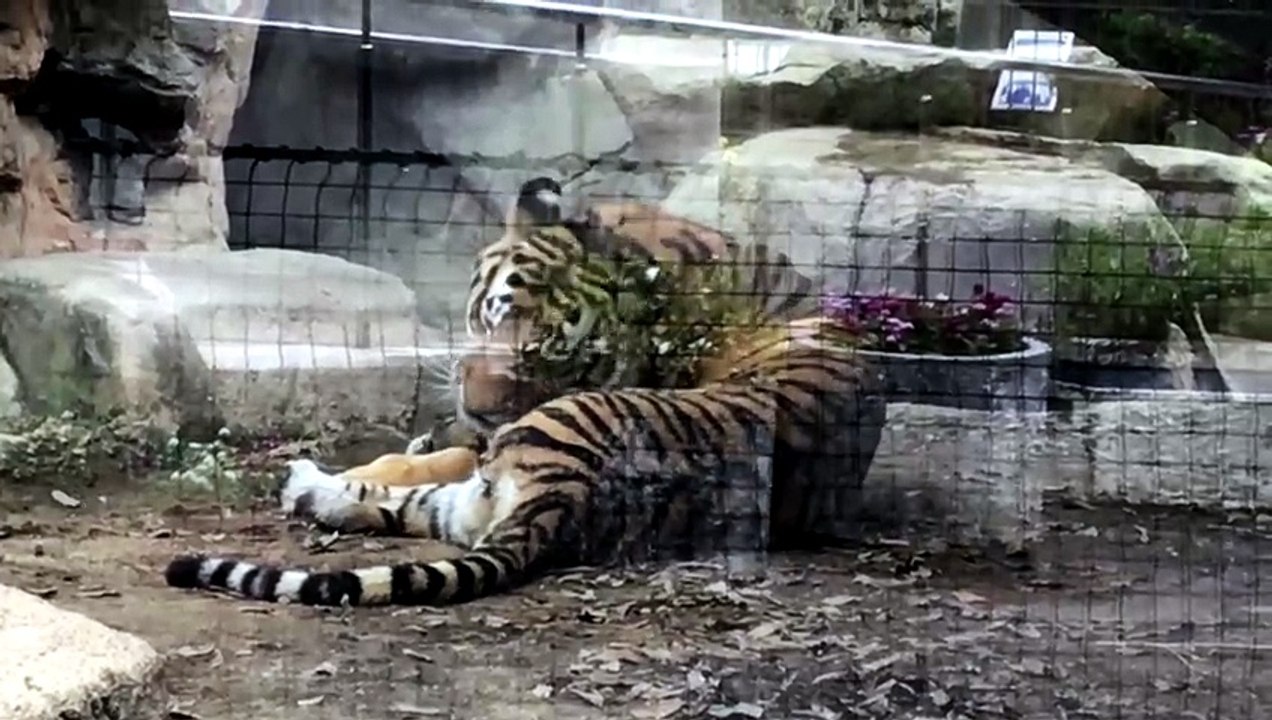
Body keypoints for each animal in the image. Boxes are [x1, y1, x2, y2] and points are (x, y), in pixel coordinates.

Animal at [163, 177, 887, 607]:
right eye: (494, 314)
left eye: (555, 354)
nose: (482, 407)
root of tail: (565, 498)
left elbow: (425, 461)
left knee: (410, 502)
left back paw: (306, 483)